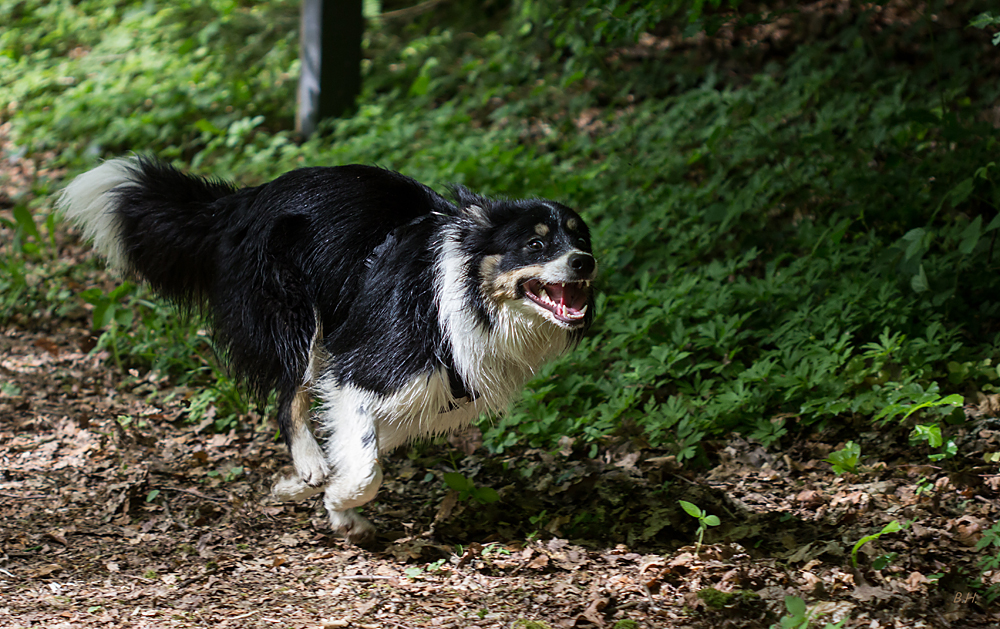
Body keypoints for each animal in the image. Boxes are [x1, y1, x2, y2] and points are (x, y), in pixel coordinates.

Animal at [60, 156, 592, 540]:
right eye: (535, 244)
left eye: (580, 237)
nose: (584, 261)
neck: (466, 297)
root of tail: (242, 200)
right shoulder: (360, 372)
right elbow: (366, 471)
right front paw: (336, 499)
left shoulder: (425, 400)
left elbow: (359, 450)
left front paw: (325, 501)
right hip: (297, 322)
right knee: (287, 399)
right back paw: (308, 463)